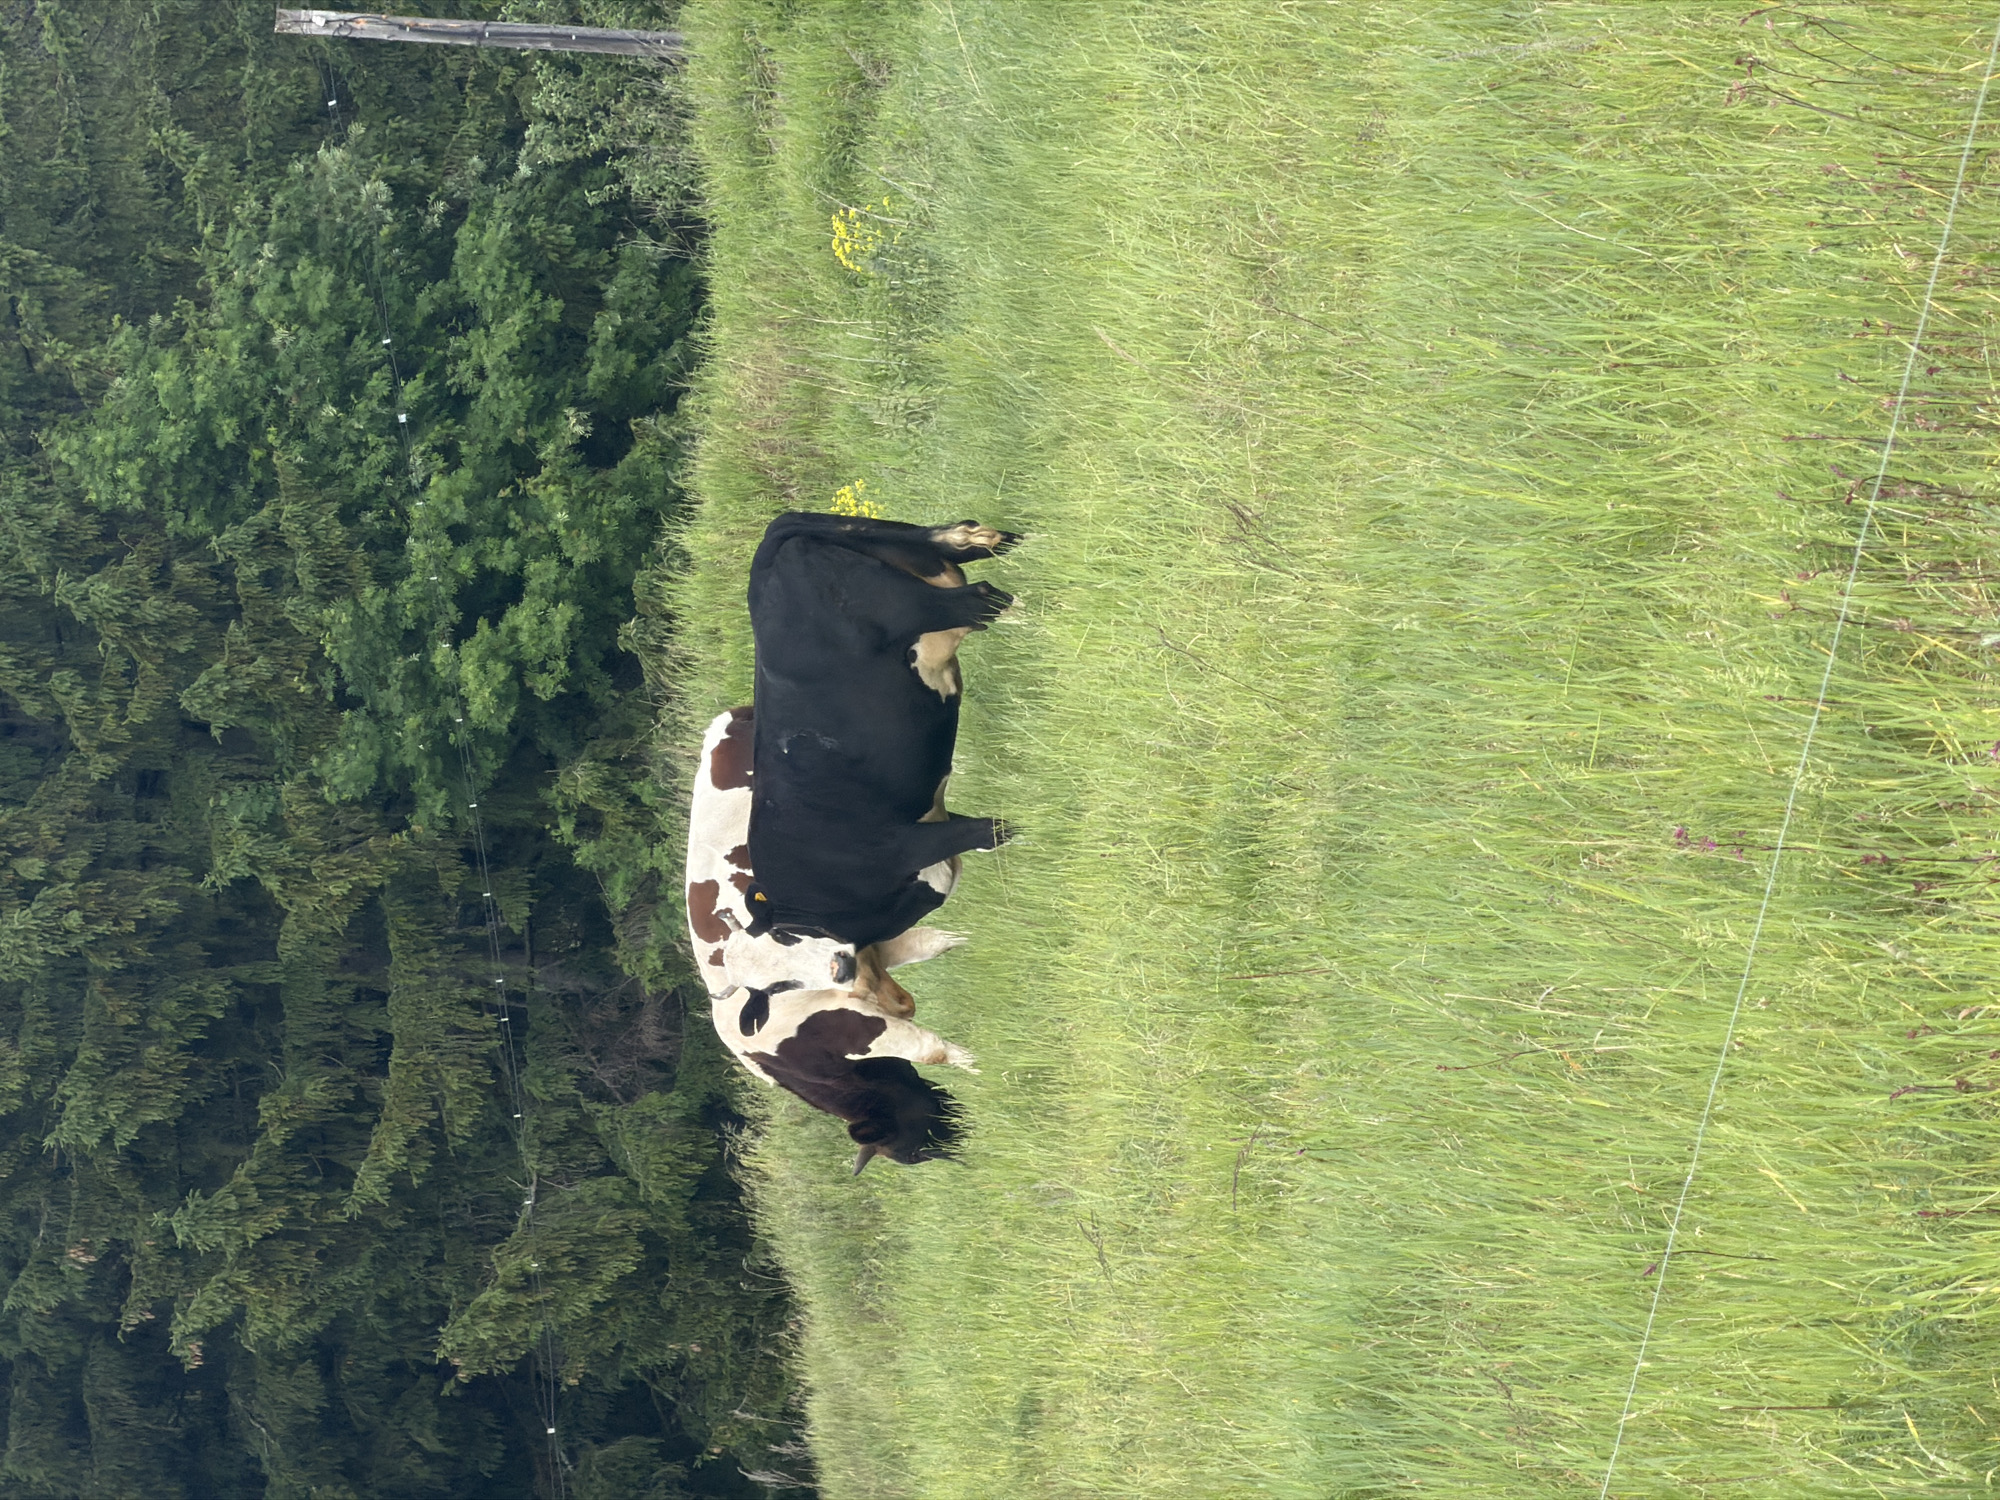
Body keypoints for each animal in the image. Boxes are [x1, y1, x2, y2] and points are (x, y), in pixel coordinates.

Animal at [743, 512, 1019, 950]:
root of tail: (771, 544)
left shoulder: (901, 845)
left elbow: (987, 832)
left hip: (927, 606)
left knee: (982, 599)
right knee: (956, 541)